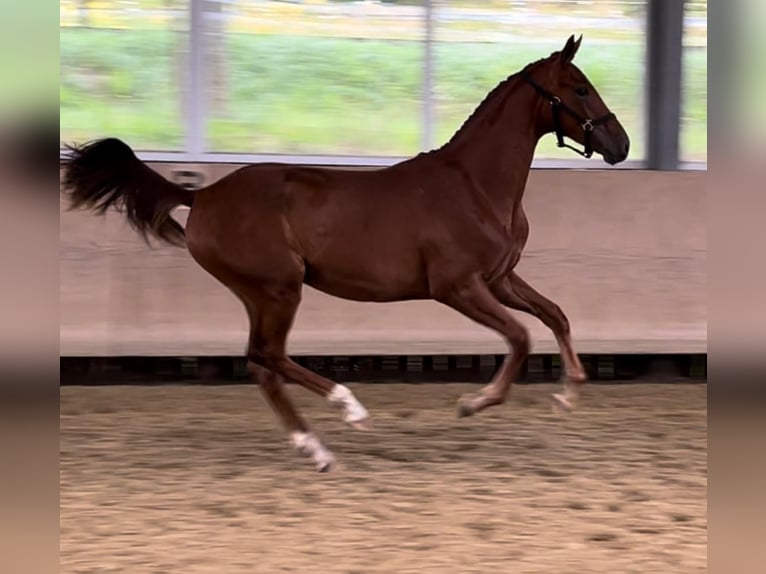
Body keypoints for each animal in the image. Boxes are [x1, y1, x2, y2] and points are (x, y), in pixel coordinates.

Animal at [63, 36, 632, 472]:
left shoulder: (498, 279)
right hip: (279, 289)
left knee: (261, 364)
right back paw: (349, 409)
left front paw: (568, 394)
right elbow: (519, 337)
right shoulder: (458, 287)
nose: (621, 145)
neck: (475, 187)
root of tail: (201, 196)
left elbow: (554, 315)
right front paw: (475, 403)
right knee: (269, 356)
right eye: (580, 88)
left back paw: (316, 449)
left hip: (258, 294)